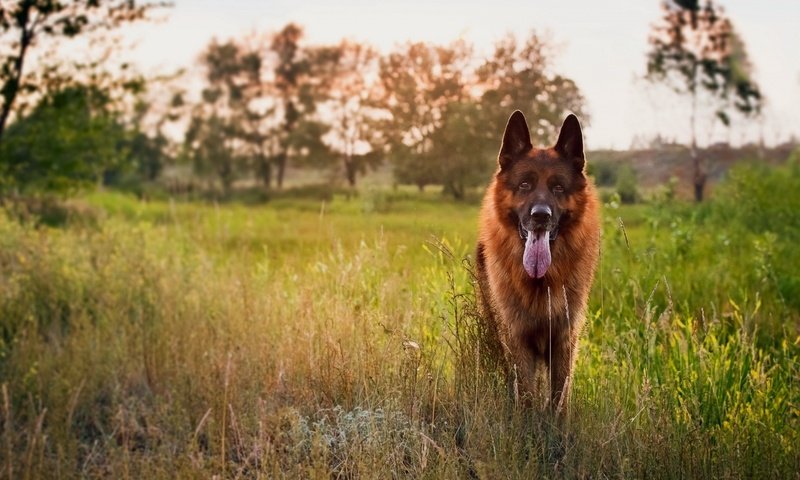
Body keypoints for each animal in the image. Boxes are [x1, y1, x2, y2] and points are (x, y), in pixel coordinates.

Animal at [476, 111, 600, 412]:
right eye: (525, 185)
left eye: (558, 187)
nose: (541, 215)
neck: (541, 281)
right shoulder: (517, 341)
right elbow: (528, 396)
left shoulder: (564, 341)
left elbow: (559, 399)